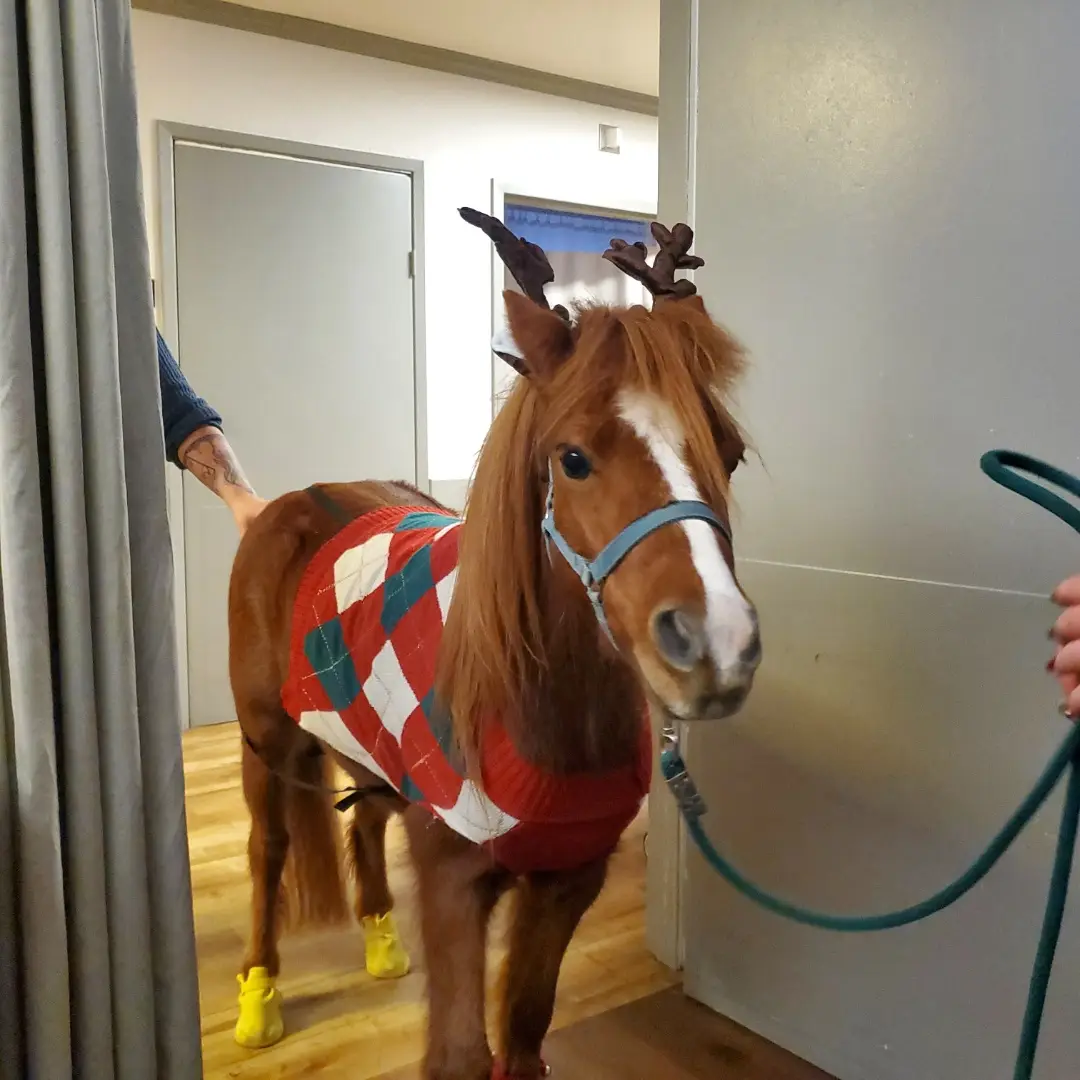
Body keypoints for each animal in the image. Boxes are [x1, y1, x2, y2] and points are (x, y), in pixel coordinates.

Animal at [225, 209, 761, 1080]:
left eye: (731, 451)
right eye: (572, 458)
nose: (716, 643)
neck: (534, 705)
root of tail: (293, 503)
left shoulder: (569, 878)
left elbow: (527, 1036)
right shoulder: (454, 879)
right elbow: (461, 1055)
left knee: (363, 822)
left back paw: (381, 940)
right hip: (265, 745)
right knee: (267, 852)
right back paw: (260, 997)